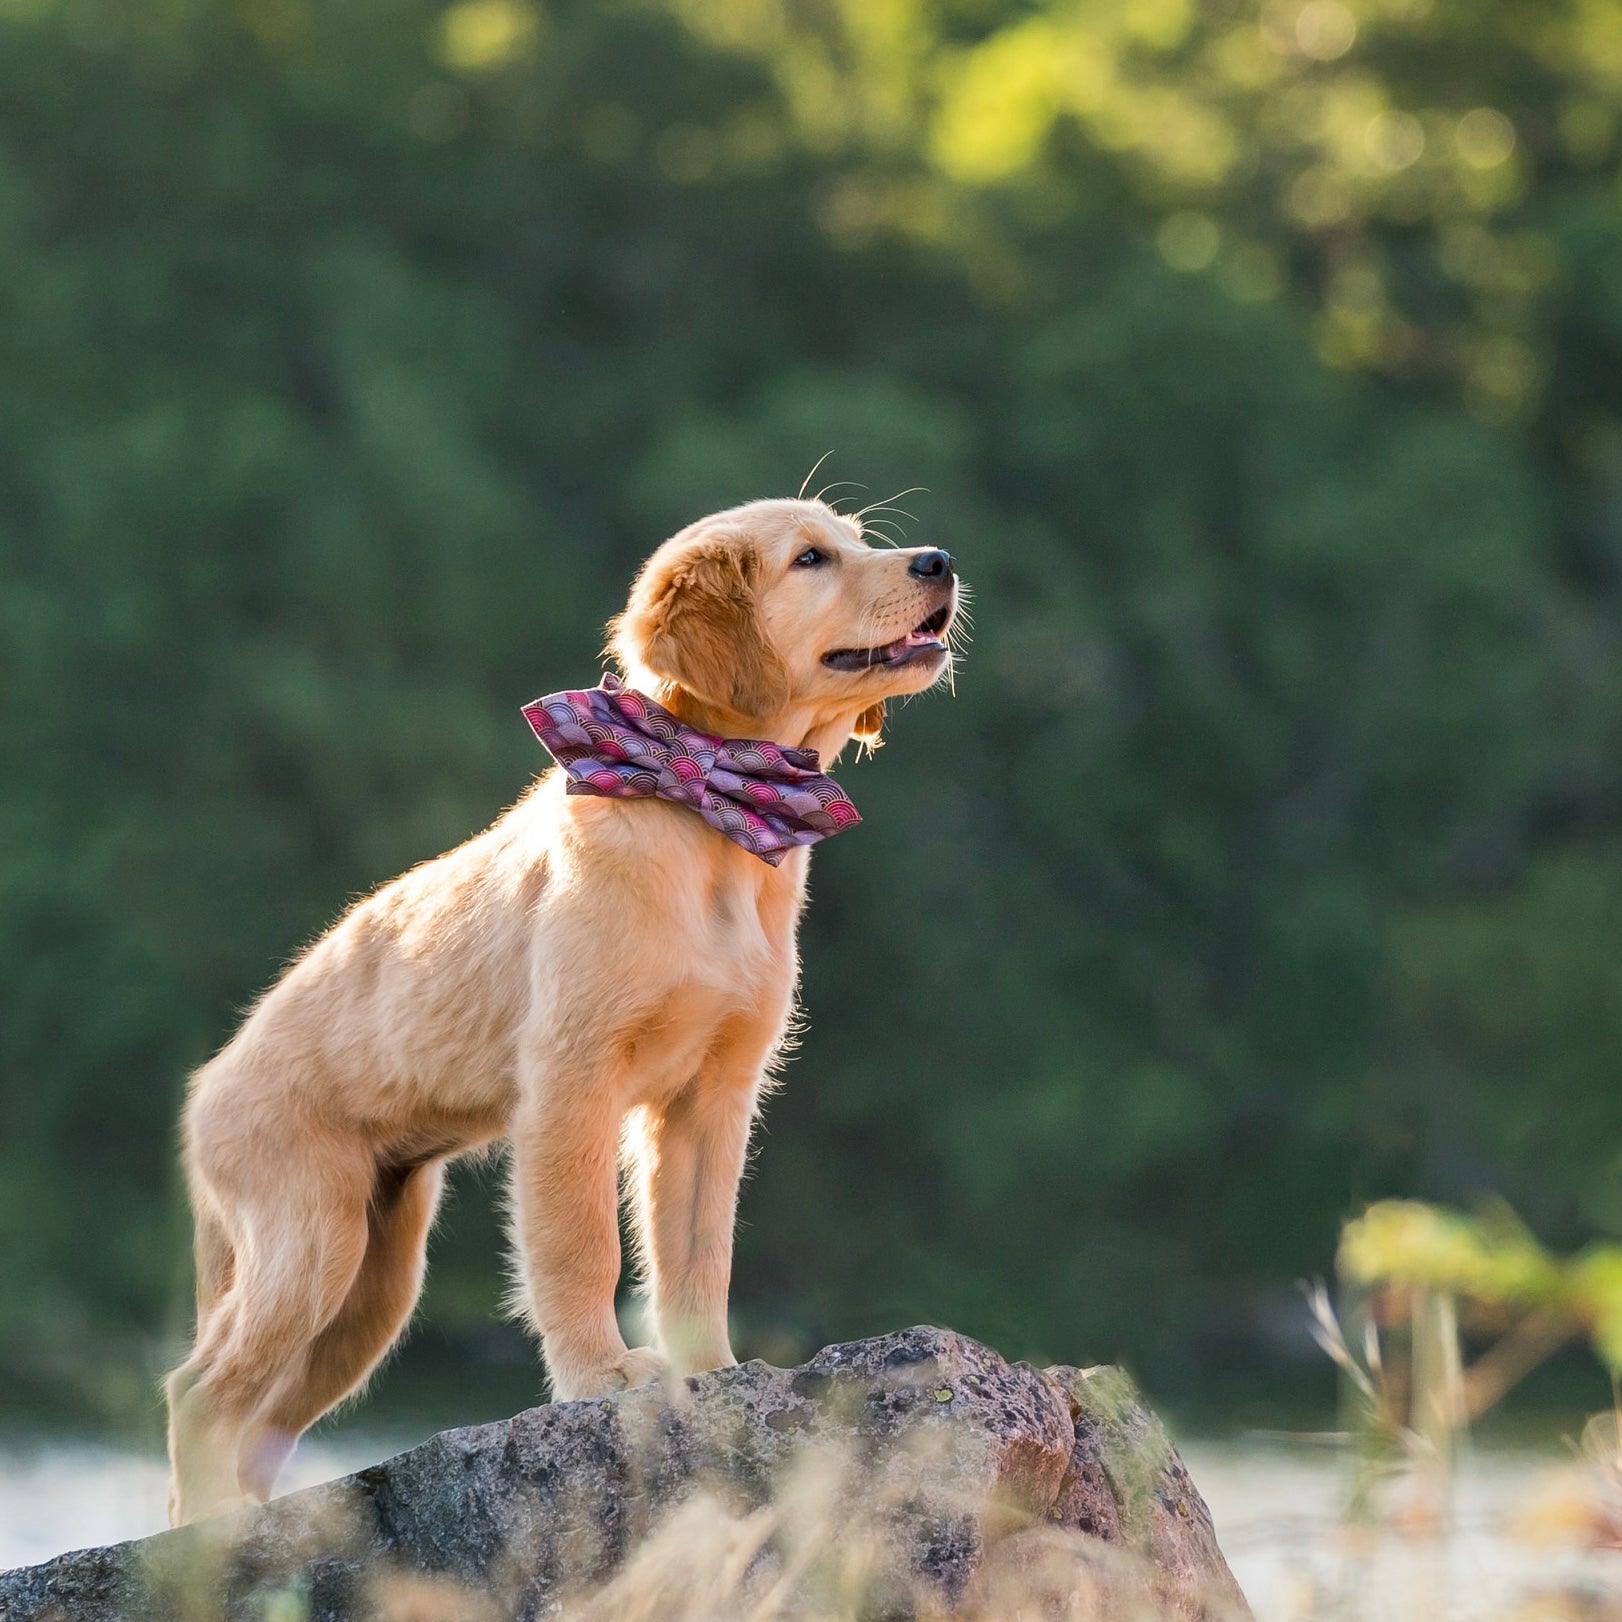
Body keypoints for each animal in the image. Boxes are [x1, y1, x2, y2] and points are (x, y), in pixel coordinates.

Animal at [161, 493, 960, 1518]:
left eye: (859, 539)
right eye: (810, 559)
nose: (939, 561)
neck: (706, 825)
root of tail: (205, 1092)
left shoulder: (712, 1098)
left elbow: (696, 1252)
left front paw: (713, 1369)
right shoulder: (571, 1079)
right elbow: (583, 1246)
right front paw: (602, 1376)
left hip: (371, 1284)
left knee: (261, 1412)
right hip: (308, 1236)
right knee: (201, 1390)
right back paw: (211, 1532)